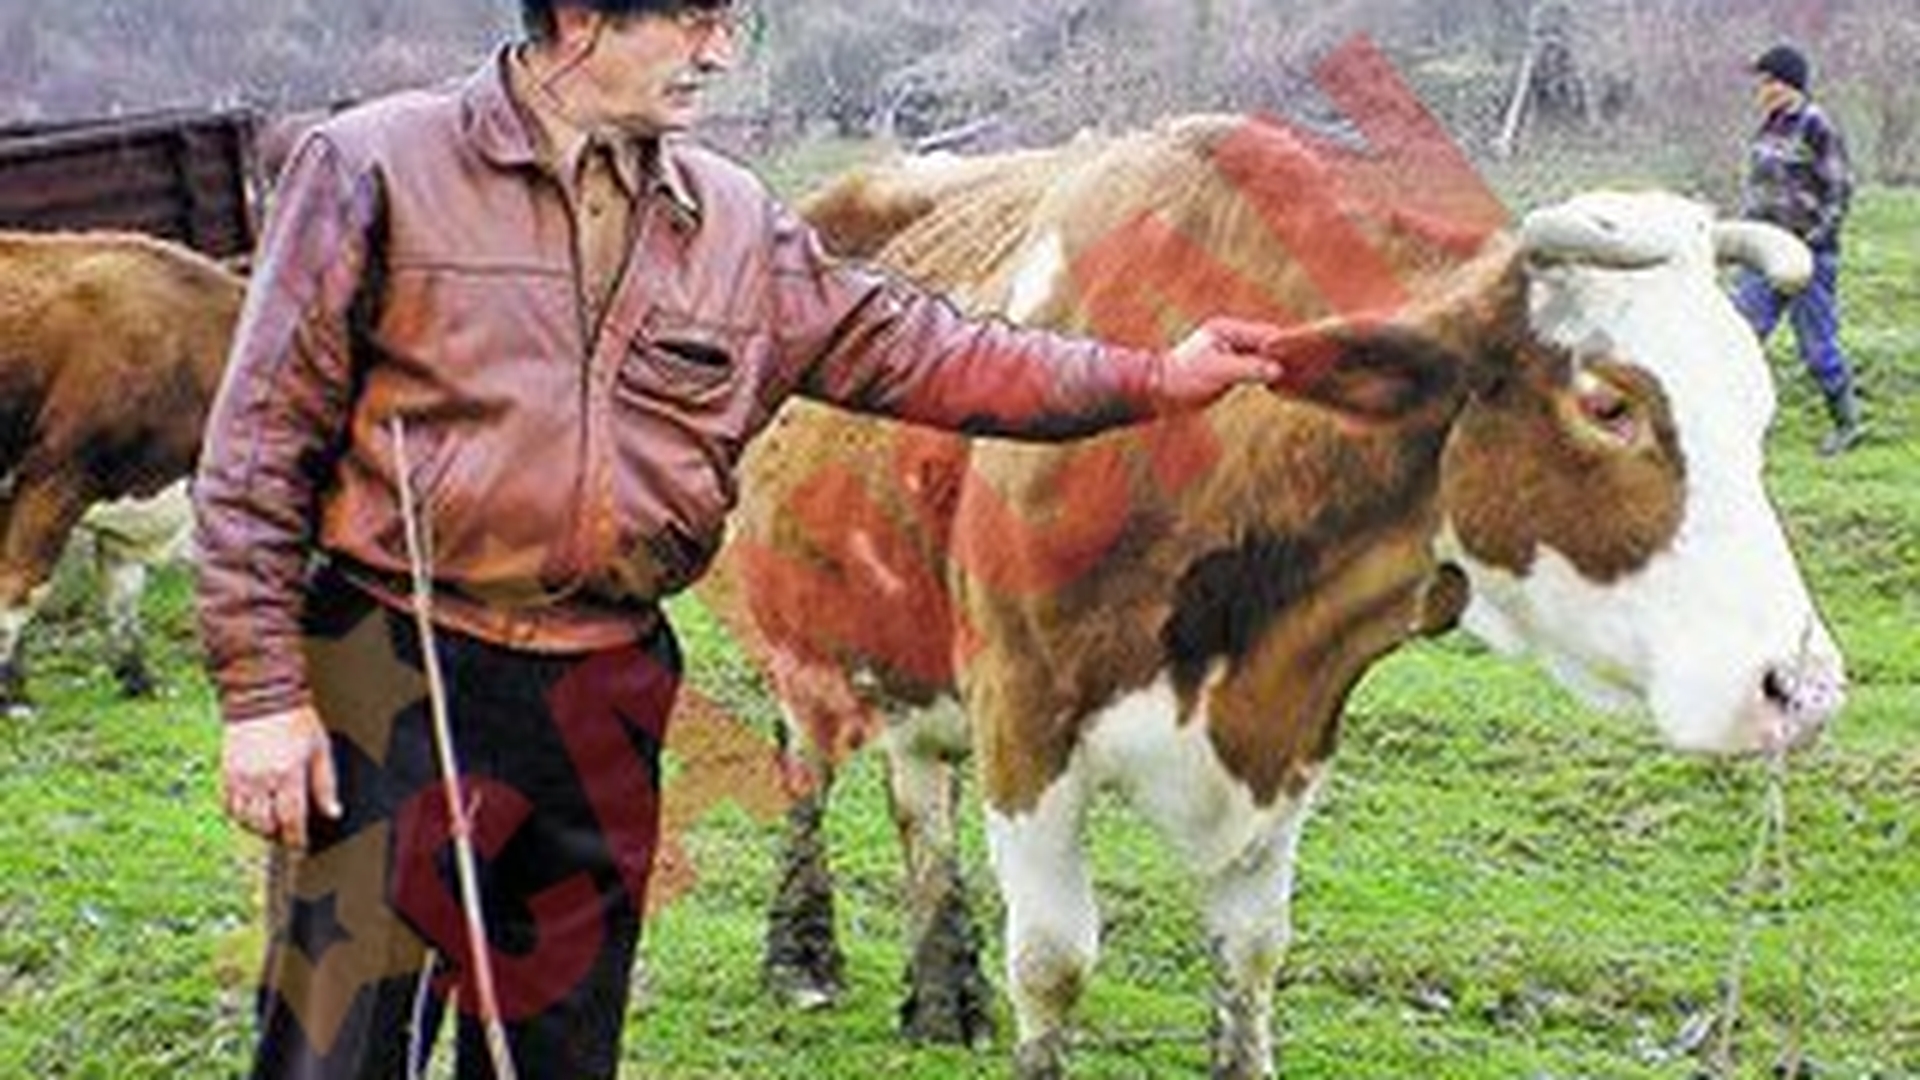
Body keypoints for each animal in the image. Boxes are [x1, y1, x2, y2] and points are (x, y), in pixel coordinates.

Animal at [697, 111, 1847, 1079]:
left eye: (1759, 404)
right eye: (1609, 404)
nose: (1802, 685)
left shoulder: (1290, 731)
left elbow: (1251, 956)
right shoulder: (1026, 725)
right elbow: (1055, 965)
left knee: (916, 790)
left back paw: (944, 990)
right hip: (797, 643)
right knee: (806, 771)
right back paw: (803, 957)